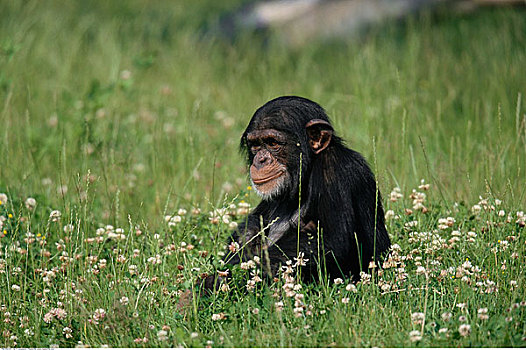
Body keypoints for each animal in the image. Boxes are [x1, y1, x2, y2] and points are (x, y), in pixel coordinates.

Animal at [224, 96, 392, 284]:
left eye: (272, 143)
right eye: (255, 145)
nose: (260, 160)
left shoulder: (334, 168)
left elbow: (332, 240)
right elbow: (253, 223)